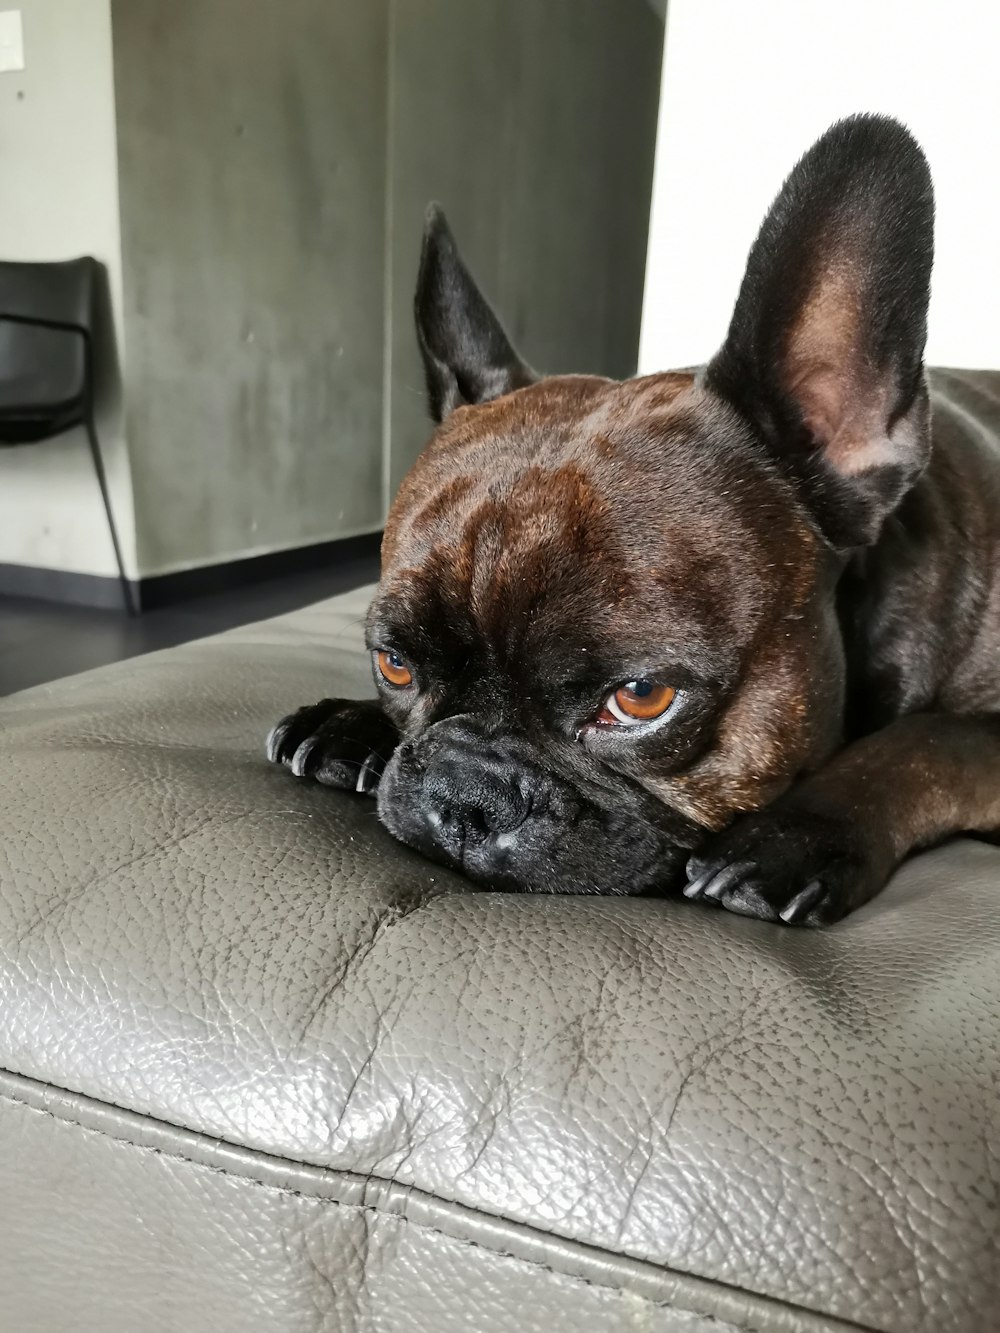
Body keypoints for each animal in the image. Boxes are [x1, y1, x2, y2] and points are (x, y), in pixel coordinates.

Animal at [266, 114, 1000, 922]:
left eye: (642, 698)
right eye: (393, 664)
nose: (466, 795)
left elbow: (927, 744)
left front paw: (798, 833)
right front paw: (352, 722)